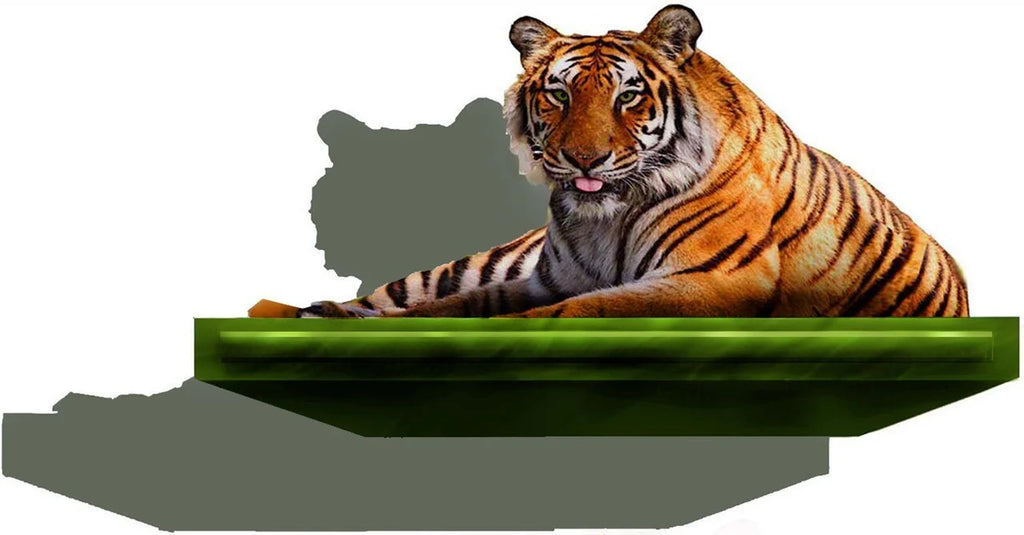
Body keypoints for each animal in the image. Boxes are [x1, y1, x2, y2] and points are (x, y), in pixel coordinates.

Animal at [300, 4, 968, 319]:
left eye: (628, 96)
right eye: (559, 94)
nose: (583, 158)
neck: (604, 219)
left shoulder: (712, 279)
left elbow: (578, 311)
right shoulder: (543, 277)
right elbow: (454, 306)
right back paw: (324, 309)